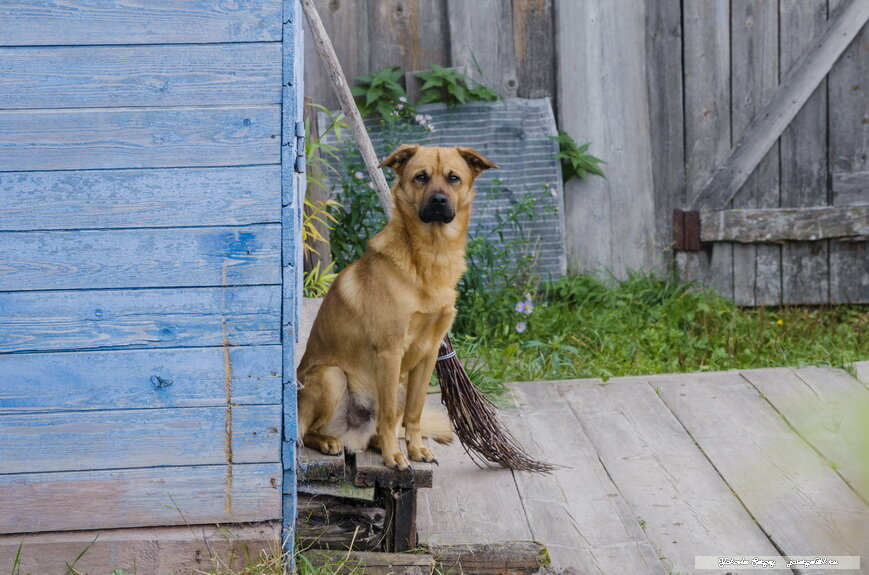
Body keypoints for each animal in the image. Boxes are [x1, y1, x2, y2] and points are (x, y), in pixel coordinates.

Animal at [296, 143, 496, 468]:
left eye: (453, 178)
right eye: (420, 177)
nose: (438, 201)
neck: (430, 257)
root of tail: (351, 435)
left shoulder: (429, 354)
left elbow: (413, 413)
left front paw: (415, 449)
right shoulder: (390, 353)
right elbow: (389, 416)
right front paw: (394, 456)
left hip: (400, 383)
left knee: (378, 429)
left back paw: (380, 443)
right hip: (333, 376)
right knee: (307, 431)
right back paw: (329, 441)